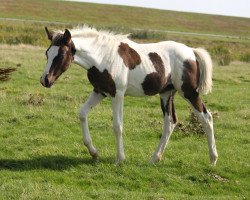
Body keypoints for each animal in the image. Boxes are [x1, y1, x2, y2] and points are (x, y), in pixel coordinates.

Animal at [40, 25, 218, 165]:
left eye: (61, 55)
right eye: (47, 53)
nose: (45, 80)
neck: (103, 57)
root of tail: (192, 52)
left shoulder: (117, 94)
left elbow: (117, 125)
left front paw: (120, 159)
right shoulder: (100, 92)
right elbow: (82, 114)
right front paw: (94, 152)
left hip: (189, 92)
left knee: (206, 117)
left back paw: (213, 159)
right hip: (166, 94)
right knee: (170, 122)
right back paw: (155, 158)